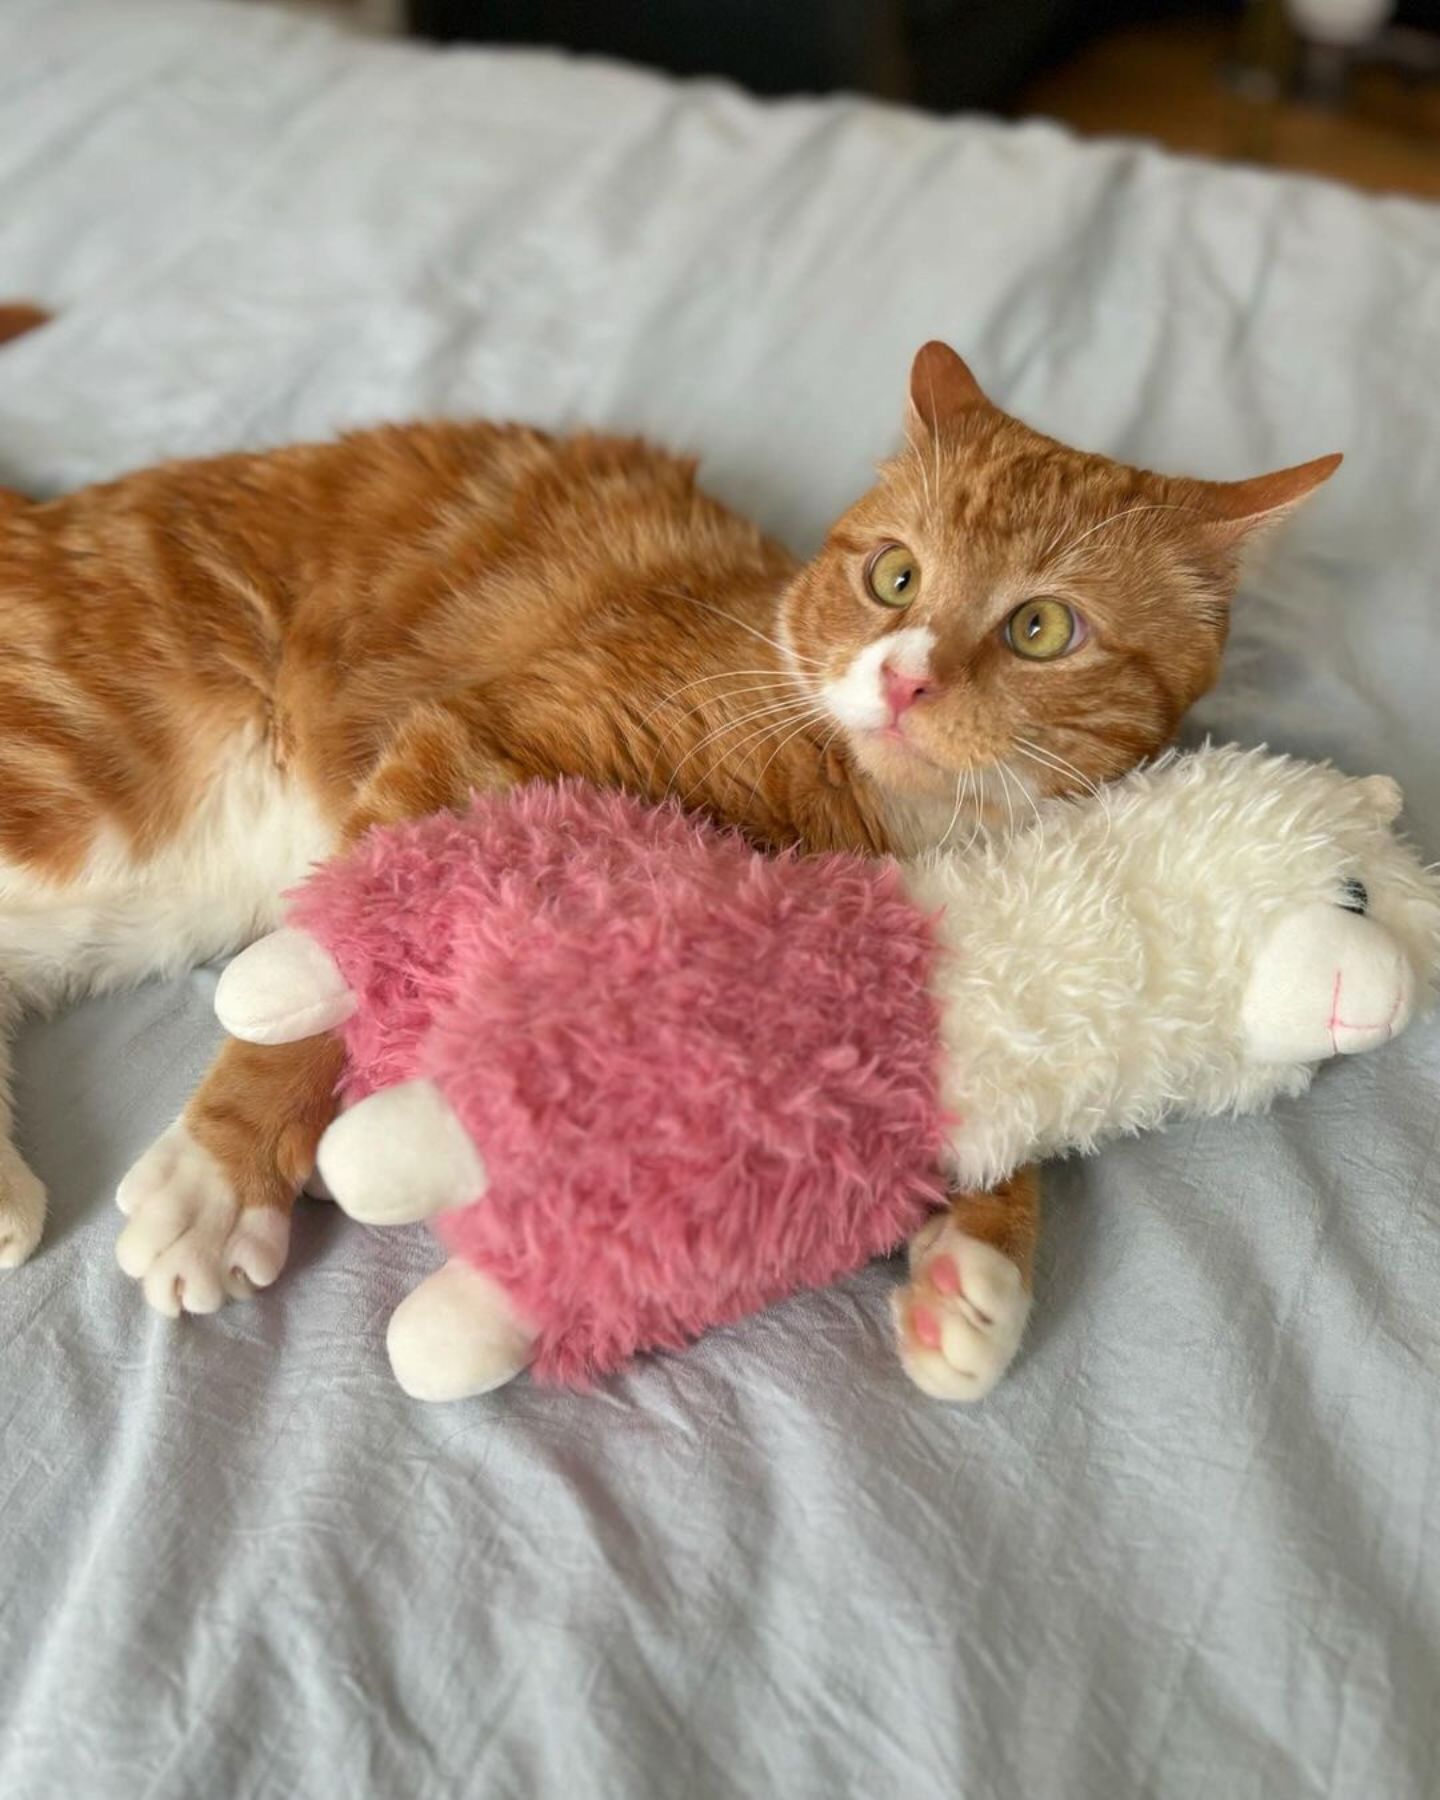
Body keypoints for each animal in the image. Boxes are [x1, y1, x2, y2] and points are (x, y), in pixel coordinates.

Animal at [0, 343, 1339, 1396]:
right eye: (895, 575)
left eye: (1041, 627)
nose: (907, 679)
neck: (886, 819)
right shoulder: (477, 736)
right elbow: (338, 950)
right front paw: (226, 1169)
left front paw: (981, 1269)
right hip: (77, 778)